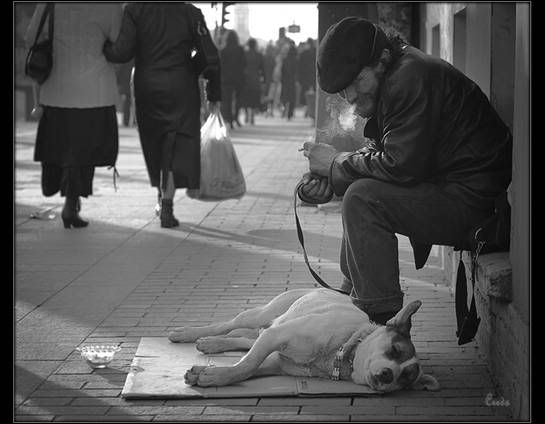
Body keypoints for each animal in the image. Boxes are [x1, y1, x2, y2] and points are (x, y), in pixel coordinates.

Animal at [168, 288, 440, 394]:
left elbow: (249, 367)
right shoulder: (276, 336)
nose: (387, 375)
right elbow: (246, 365)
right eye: (394, 350)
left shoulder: (275, 359)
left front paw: (207, 373)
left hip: (267, 328)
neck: (342, 349)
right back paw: (188, 333)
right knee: (230, 325)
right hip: (264, 314)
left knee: (244, 339)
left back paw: (213, 344)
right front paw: (216, 376)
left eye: (405, 379)